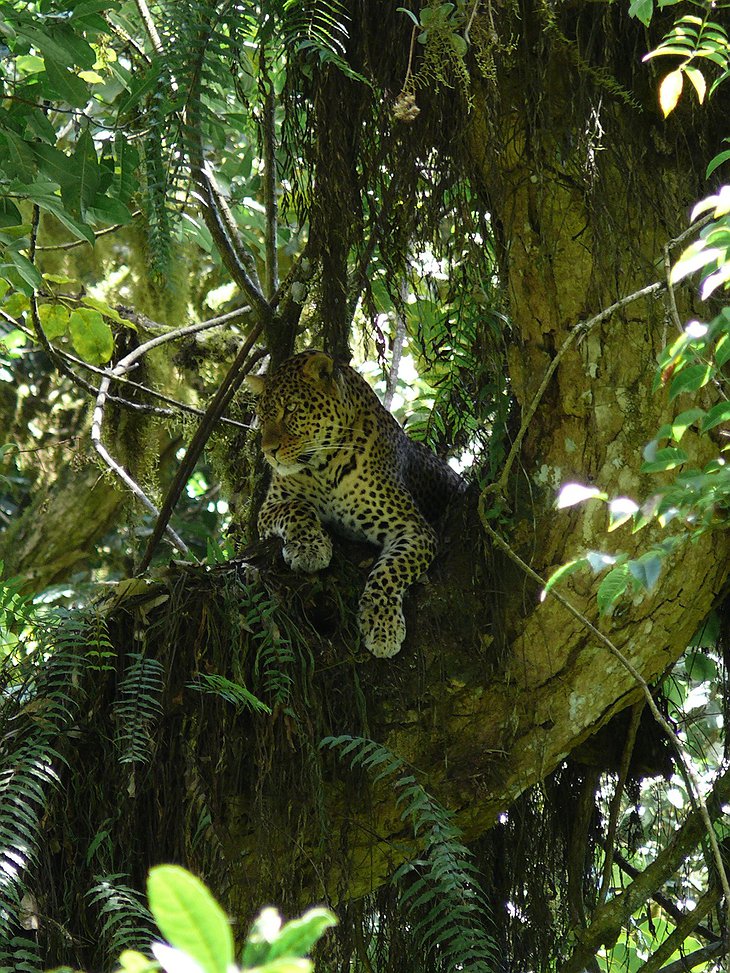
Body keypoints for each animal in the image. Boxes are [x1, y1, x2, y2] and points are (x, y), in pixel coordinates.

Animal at [243, 350, 460, 660]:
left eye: (292, 408)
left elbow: (391, 571)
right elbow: (297, 508)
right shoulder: (271, 507)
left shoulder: (414, 529)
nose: (267, 452)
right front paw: (310, 548)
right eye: (262, 417)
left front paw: (382, 625)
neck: (324, 466)